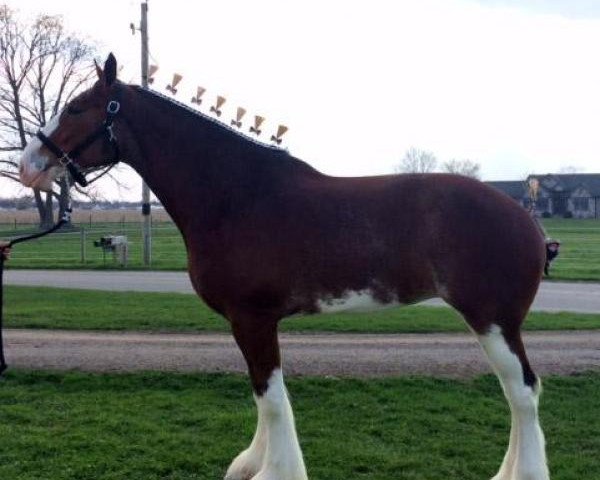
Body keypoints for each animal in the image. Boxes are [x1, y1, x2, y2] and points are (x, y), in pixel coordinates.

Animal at [17, 54, 548, 478]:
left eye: (76, 108)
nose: (27, 165)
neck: (235, 196)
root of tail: (525, 216)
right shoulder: (251, 322)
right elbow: (262, 394)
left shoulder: (252, 318)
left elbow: (270, 398)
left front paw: (274, 470)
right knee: (518, 393)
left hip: (493, 320)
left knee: (523, 392)